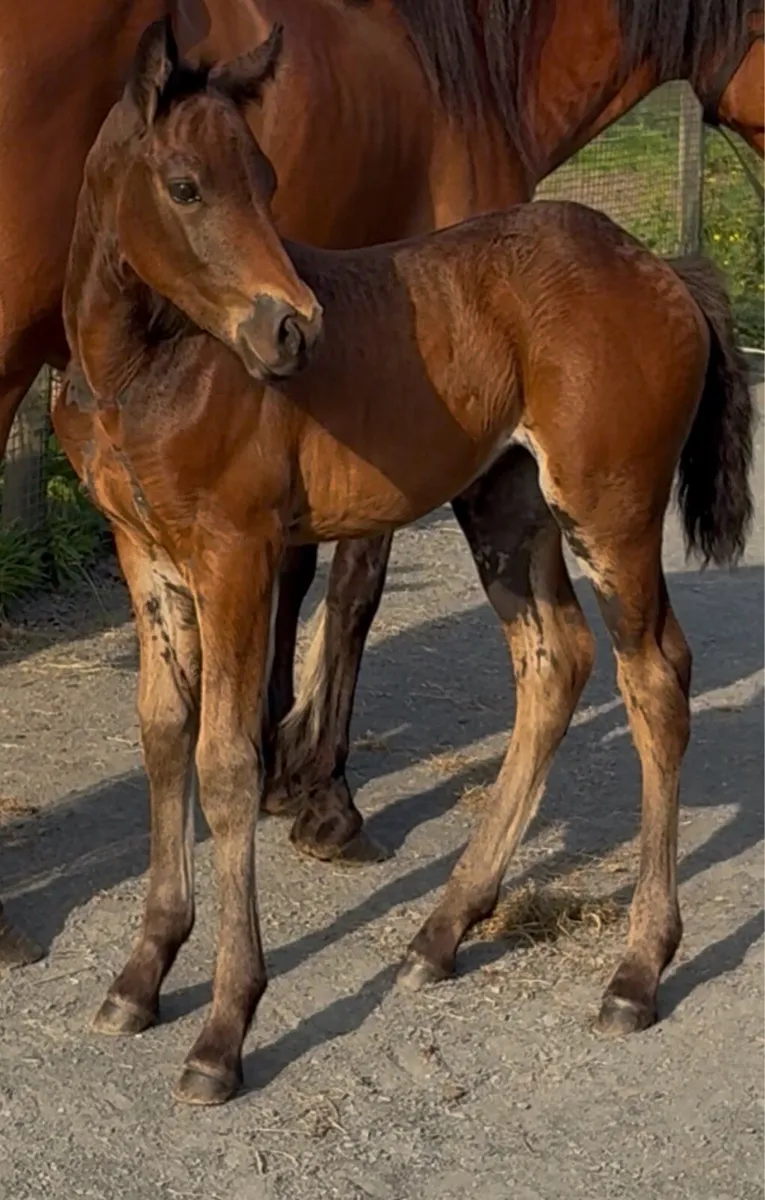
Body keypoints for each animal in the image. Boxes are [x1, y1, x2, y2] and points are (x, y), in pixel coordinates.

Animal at [54, 21, 754, 1105]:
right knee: (554, 663)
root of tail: (660, 268)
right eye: (185, 185)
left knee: (655, 681)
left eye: (266, 178)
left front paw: (222, 1029)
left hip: (611, 512)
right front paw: (142, 973)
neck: (142, 368)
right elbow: (164, 734)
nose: (292, 327)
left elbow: (226, 762)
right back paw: (443, 929)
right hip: (505, 506)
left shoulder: (236, 553)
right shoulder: (147, 555)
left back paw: (636, 971)